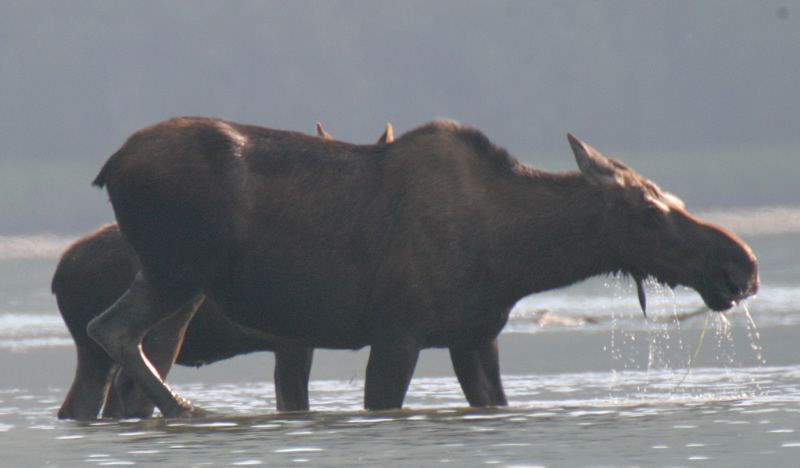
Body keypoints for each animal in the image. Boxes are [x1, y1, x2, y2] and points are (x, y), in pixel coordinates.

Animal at [87, 118, 756, 416]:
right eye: (648, 210)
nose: (740, 265)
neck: (516, 258)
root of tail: (109, 167)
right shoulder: (397, 331)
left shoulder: (475, 336)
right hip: (178, 271)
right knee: (112, 331)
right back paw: (187, 407)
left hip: (172, 280)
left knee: (124, 348)